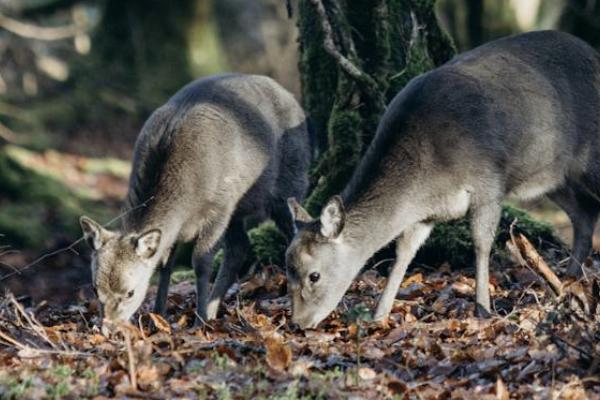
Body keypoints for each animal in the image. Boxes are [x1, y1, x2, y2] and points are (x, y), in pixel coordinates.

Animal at [79, 74, 312, 324]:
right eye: (95, 289)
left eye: (130, 292)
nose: (107, 326)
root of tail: (294, 100)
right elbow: (165, 262)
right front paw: (159, 314)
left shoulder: (219, 207)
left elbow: (200, 261)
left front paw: (199, 320)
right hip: (239, 210)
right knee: (240, 247)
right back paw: (213, 309)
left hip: (291, 181)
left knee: (293, 230)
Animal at [284, 31, 600, 330]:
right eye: (287, 269)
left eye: (314, 275)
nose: (298, 323)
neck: (428, 175)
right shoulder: (424, 215)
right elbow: (403, 254)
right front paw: (379, 315)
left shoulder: (488, 182)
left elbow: (481, 245)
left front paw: (483, 309)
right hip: (553, 176)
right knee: (585, 214)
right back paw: (567, 285)